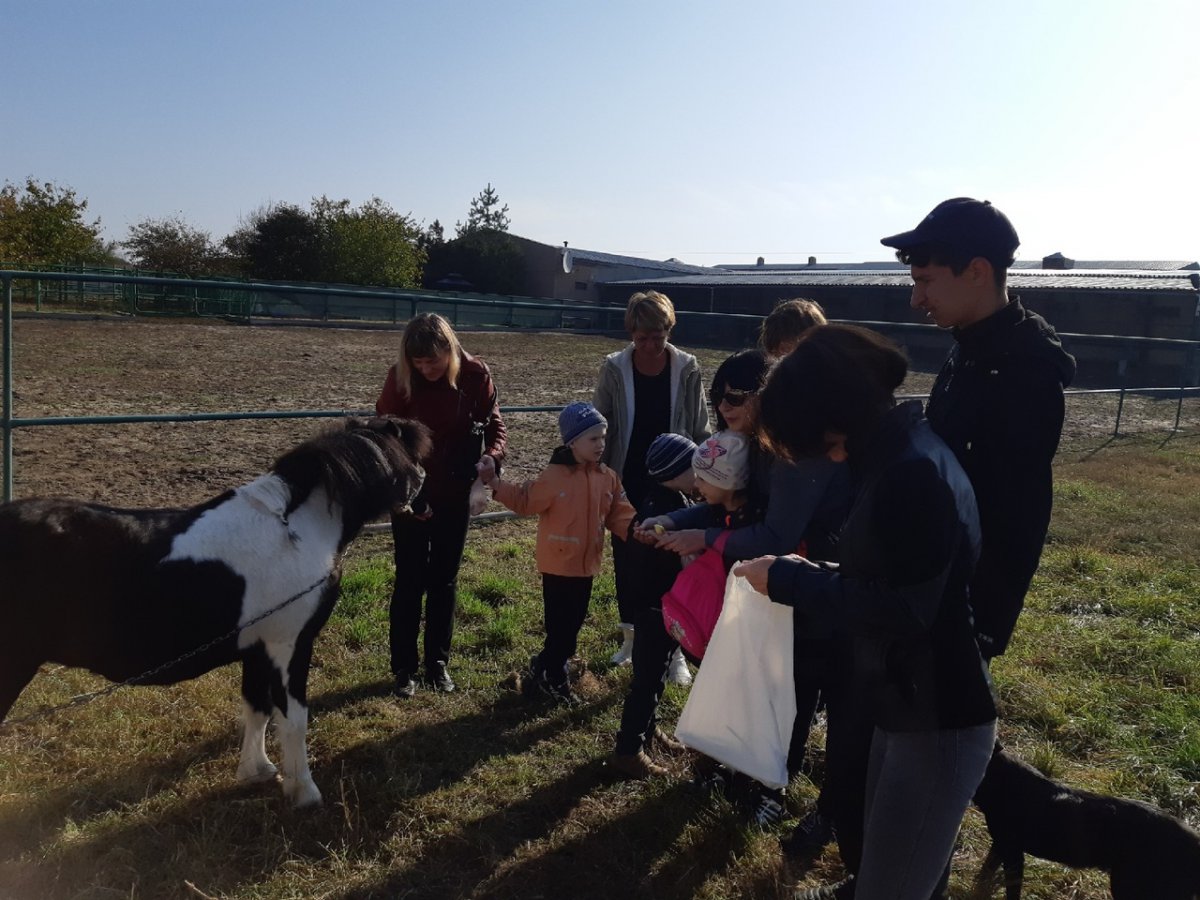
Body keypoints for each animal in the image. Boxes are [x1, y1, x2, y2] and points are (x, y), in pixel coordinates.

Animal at [0, 417, 432, 811]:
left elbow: (257, 708)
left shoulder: (258, 649)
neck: (294, 531)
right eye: (413, 456)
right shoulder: (289, 647)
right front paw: (304, 792)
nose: (426, 493)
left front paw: (258, 771)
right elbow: (293, 718)